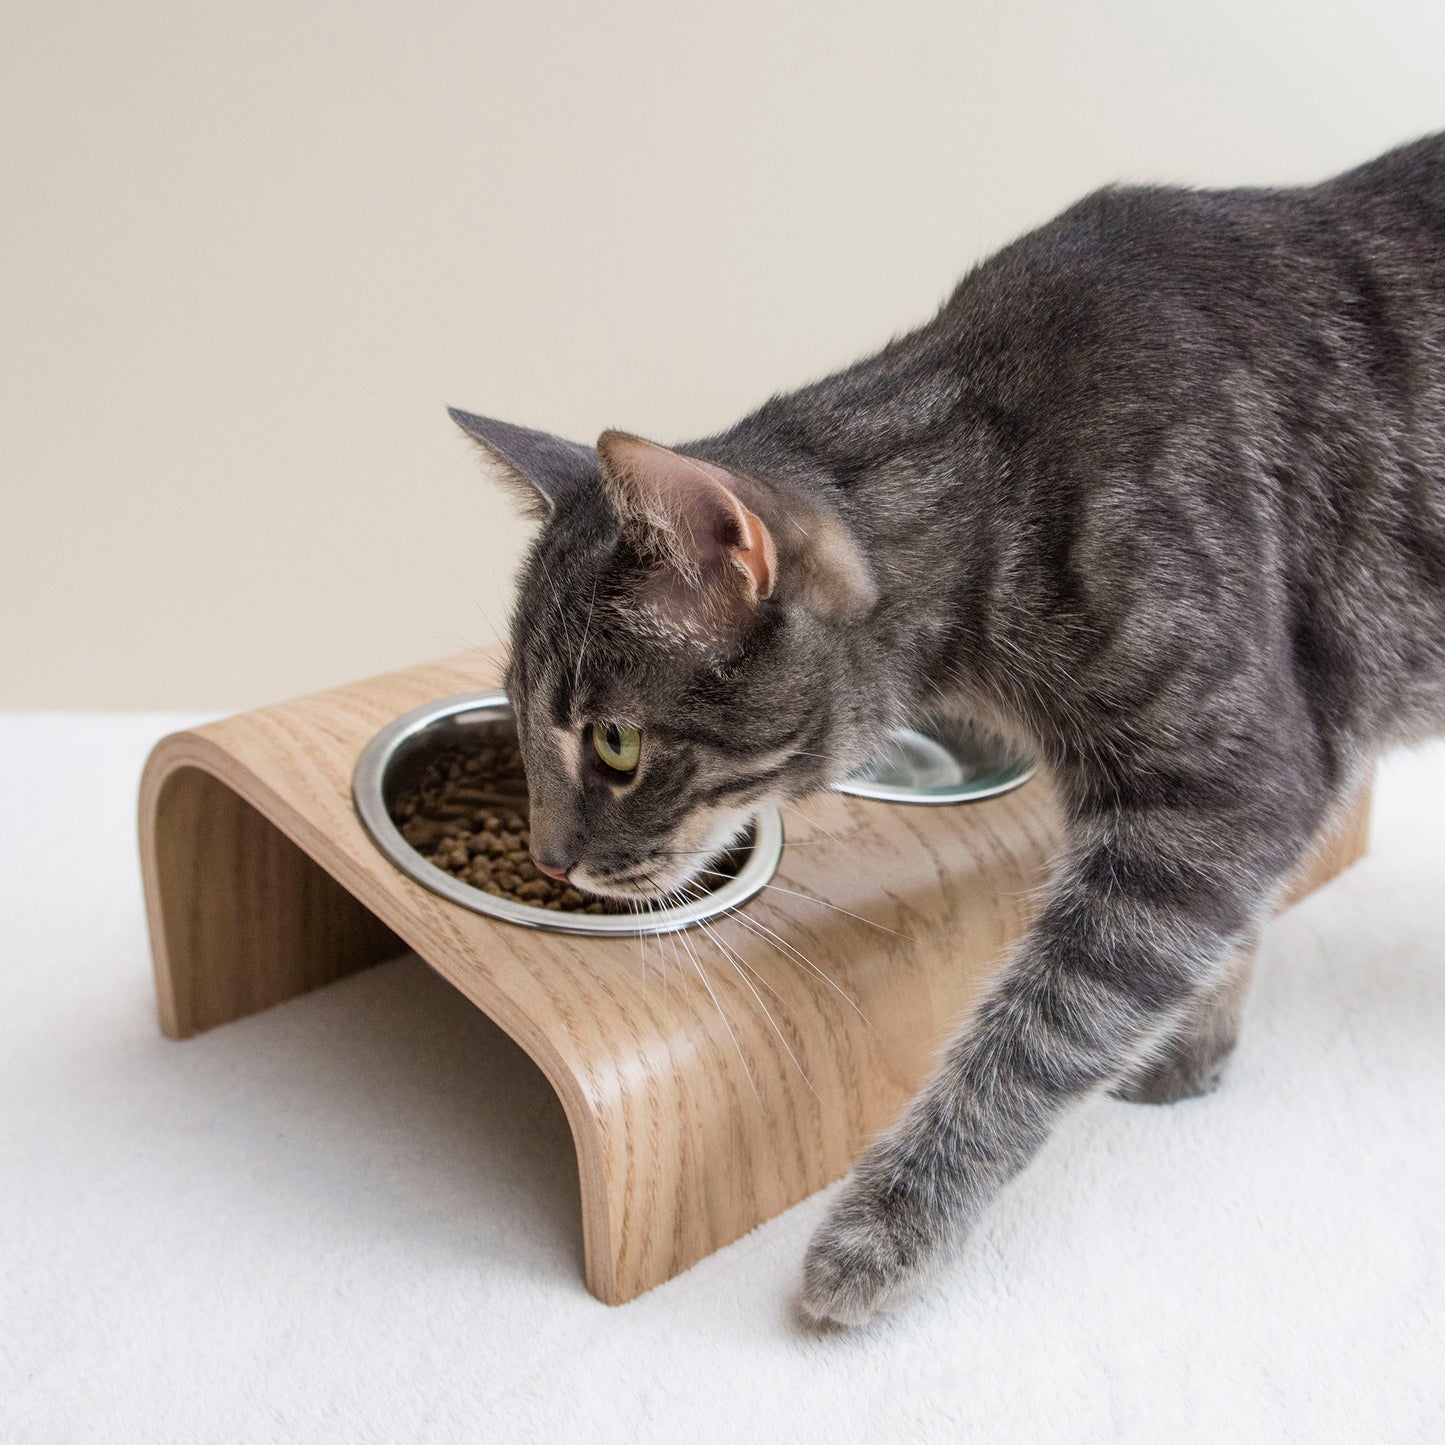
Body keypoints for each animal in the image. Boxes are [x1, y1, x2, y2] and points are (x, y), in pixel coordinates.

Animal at [450, 132, 1445, 1323]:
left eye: (614, 745)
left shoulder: (1230, 780)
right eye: (523, 725)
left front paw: (884, 1232)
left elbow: (1040, 1028)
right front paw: (1190, 1049)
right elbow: (1219, 938)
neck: (1006, 476)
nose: (551, 857)